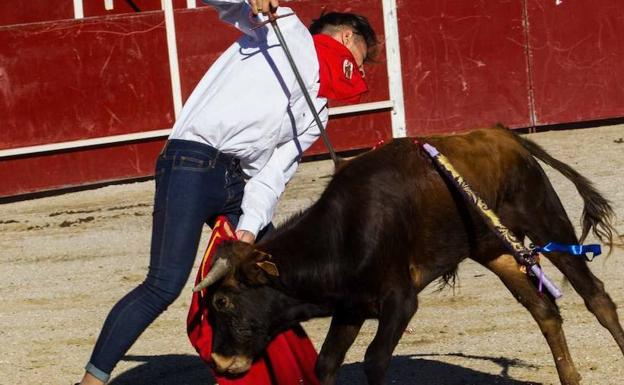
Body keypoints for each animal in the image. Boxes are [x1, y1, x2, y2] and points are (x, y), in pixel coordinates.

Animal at [194, 127, 620, 384]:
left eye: (223, 302)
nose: (220, 362)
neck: (342, 233)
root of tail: (504, 134)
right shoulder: (350, 308)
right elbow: (326, 363)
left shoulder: (399, 302)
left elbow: (375, 359)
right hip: (495, 250)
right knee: (545, 310)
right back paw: (569, 376)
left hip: (545, 219)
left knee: (595, 296)